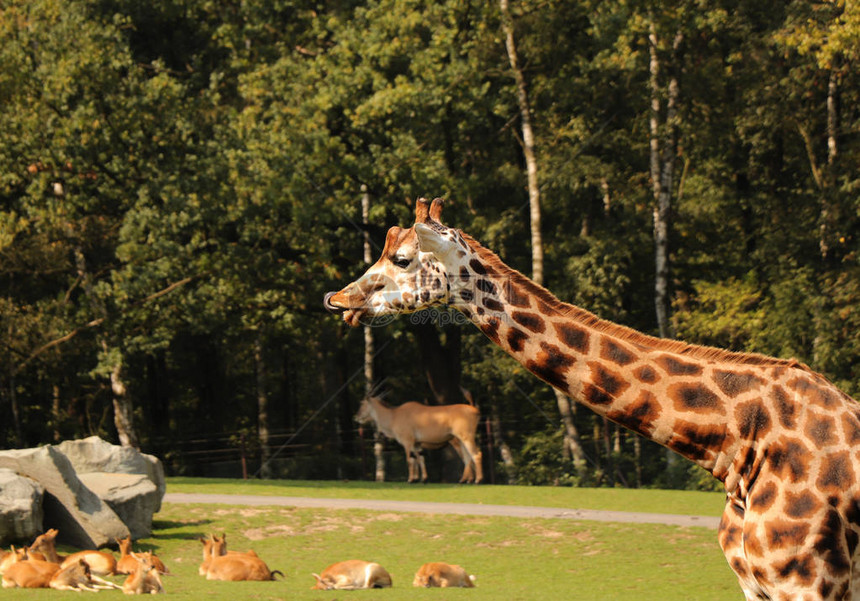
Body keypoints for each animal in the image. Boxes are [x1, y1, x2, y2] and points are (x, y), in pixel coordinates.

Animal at [352, 394, 480, 482]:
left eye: (362, 403)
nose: (356, 417)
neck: (394, 416)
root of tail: (474, 410)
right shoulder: (417, 444)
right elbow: (420, 460)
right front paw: (423, 479)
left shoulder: (407, 442)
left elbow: (410, 460)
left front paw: (410, 480)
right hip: (462, 440)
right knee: (468, 457)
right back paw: (466, 480)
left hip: (465, 438)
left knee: (476, 454)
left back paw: (477, 480)